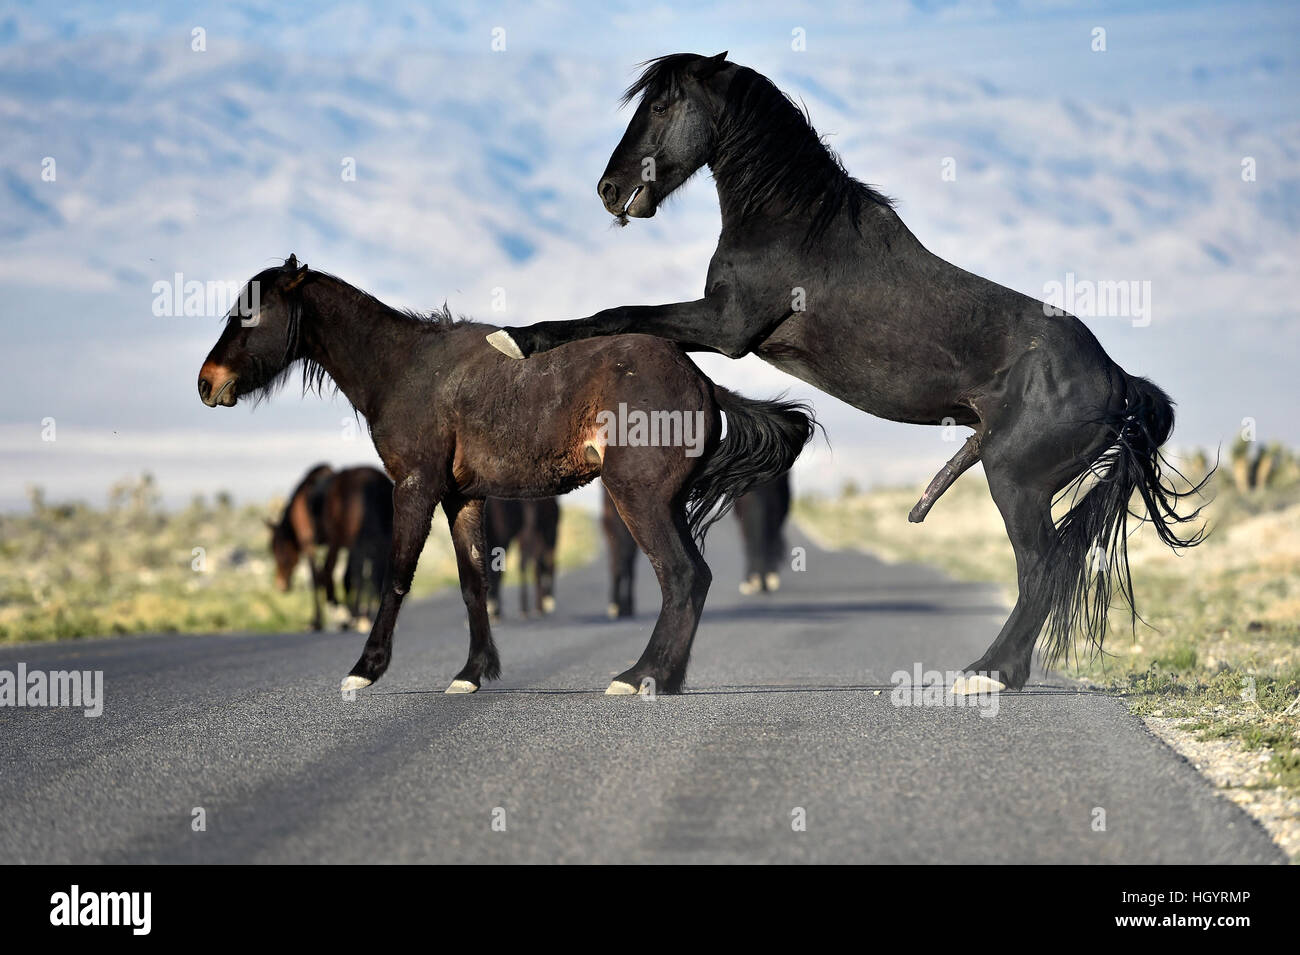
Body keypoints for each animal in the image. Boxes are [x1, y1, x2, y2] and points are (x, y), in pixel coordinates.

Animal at [267, 464, 392, 630]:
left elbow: (319, 577)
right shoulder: (347, 545)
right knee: (373, 573)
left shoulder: (312, 544)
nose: (281, 585)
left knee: (354, 574)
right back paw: (365, 615)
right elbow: (344, 578)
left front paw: (320, 619)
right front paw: (347, 615)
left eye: (278, 551)